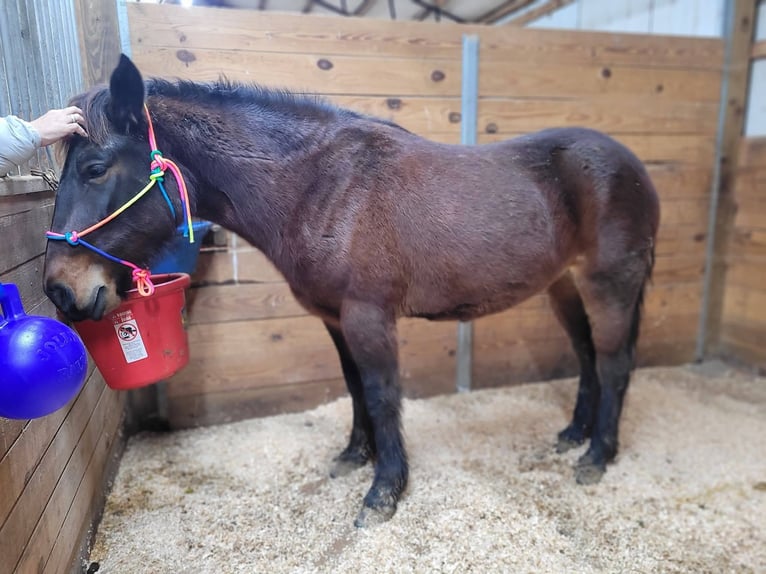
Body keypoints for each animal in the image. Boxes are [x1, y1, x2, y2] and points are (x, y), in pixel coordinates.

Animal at [44, 54, 659, 527]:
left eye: (96, 168)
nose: (60, 290)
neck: (323, 188)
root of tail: (629, 164)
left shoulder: (368, 315)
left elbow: (383, 394)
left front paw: (384, 492)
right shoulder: (334, 317)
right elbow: (355, 387)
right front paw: (354, 456)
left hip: (610, 285)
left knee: (614, 362)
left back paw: (597, 456)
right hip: (564, 288)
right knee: (587, 356)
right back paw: (574, 434)